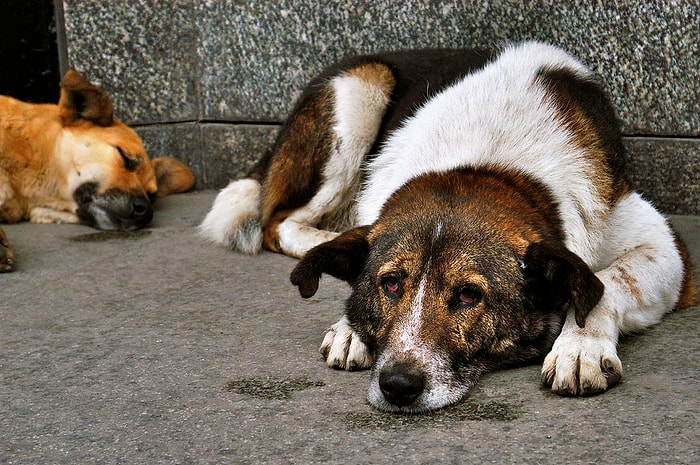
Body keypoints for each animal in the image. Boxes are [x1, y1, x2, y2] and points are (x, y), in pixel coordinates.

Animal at [201, 41, 696, 412]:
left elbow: (608, 281)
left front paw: (579, 348)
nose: (398, 385)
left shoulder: (666, 247)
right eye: (391, 284)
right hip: (361, 87)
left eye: (469, 295)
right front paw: (348, 322)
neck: (483, 164)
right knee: (278, 221)